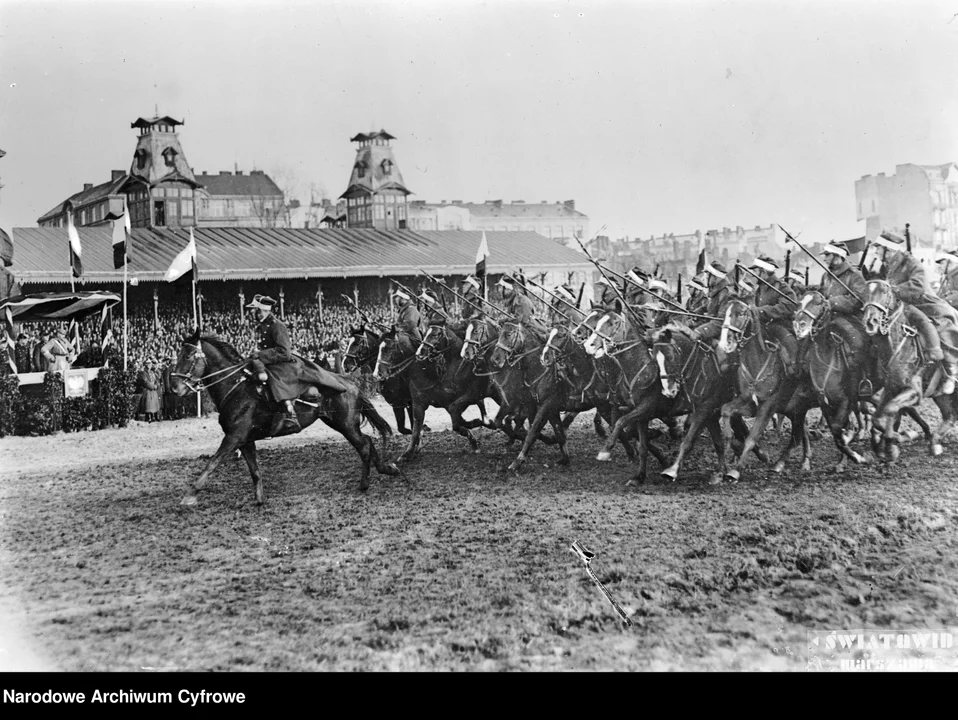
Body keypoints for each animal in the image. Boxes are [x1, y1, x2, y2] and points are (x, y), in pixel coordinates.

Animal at [171, 332, 404, 506]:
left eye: (189, 356)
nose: (175, 387)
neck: (236, 388)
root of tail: (349, 382)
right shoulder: (245, 440)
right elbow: (254, 470)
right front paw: (259, 499)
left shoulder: (233, 438)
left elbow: (212, 463)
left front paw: (189, 496)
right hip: (339, 423)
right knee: (368, 442)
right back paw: (386, 469)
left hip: (345, 424)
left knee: (363, 445)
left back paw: (364, 483)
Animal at [864, 282, 958, 462]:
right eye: (864, 291)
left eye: (884, 292)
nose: (870, 321)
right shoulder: (891, 388)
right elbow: (878, 417)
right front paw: (889, 446)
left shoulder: (914, 392)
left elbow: (891, 410)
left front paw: (898, 438)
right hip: (941, 395)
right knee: (950, 417)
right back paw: (935, 444)